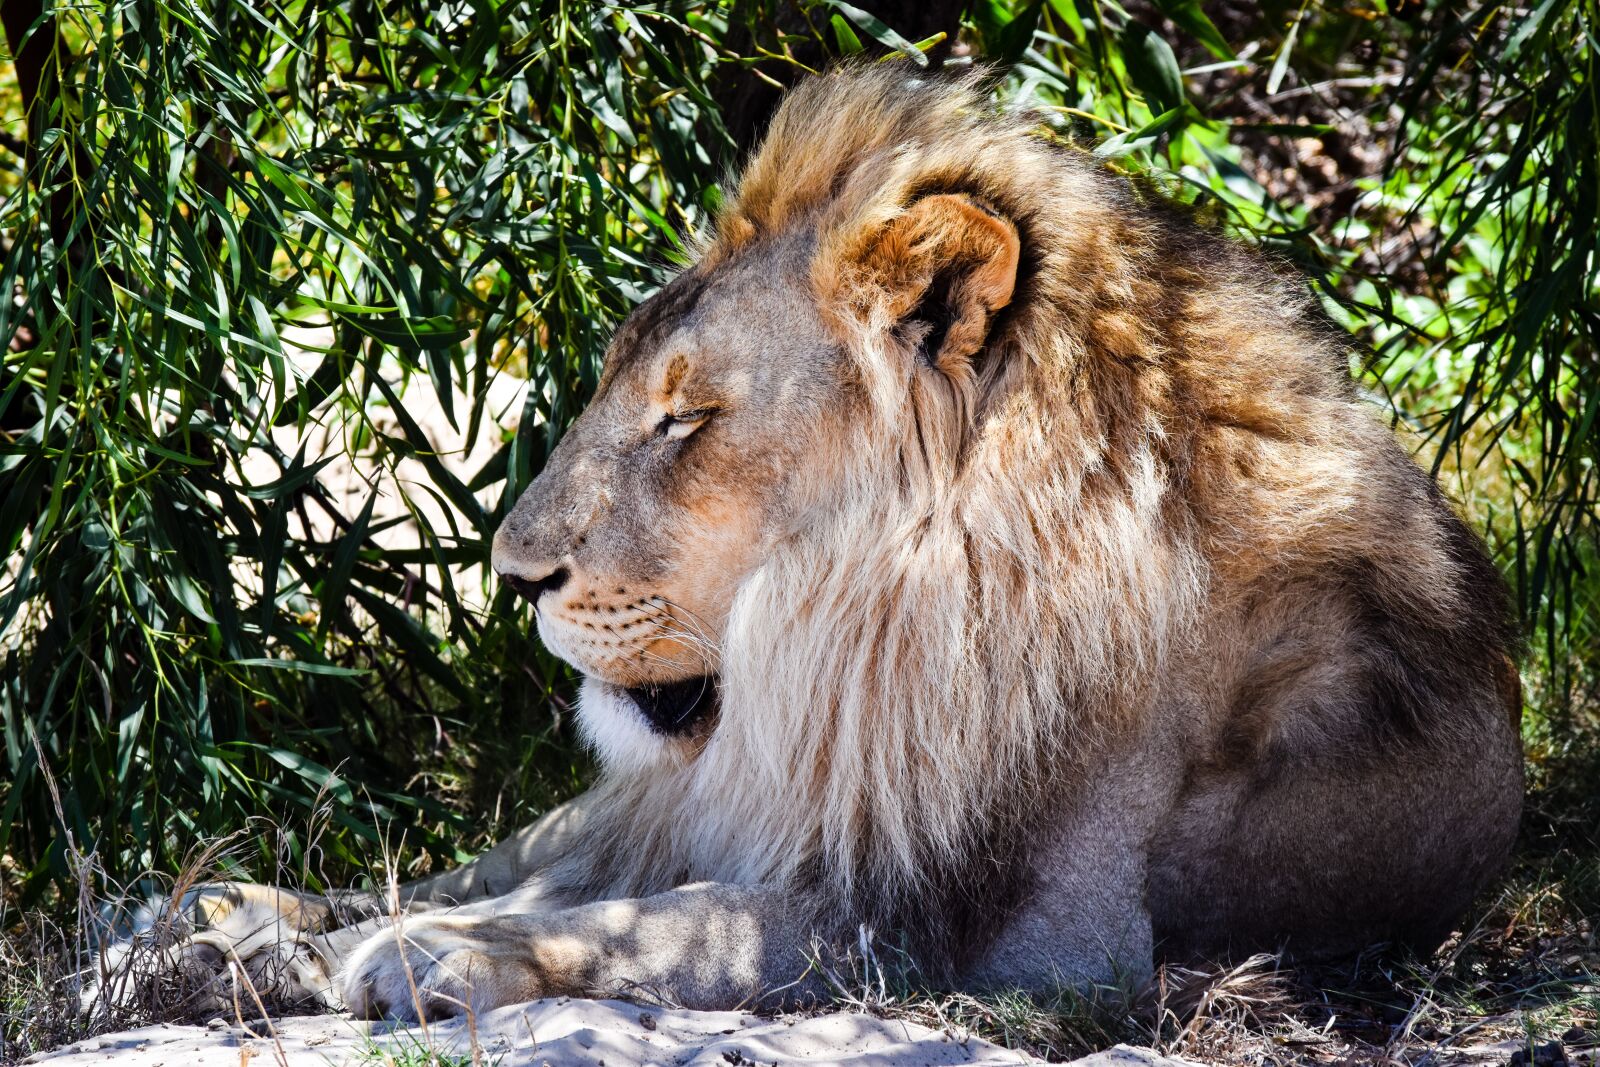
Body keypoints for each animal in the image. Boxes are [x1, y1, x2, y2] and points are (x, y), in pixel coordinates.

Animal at [117, 65, 1523, 1023]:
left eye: (686, 417)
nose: (515, 576)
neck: (846, 637)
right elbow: (592, 891)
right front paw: (309, 936)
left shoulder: (1026, 934)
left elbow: (683, 922)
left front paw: (439, 954)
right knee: (501, 855)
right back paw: (224, 917)